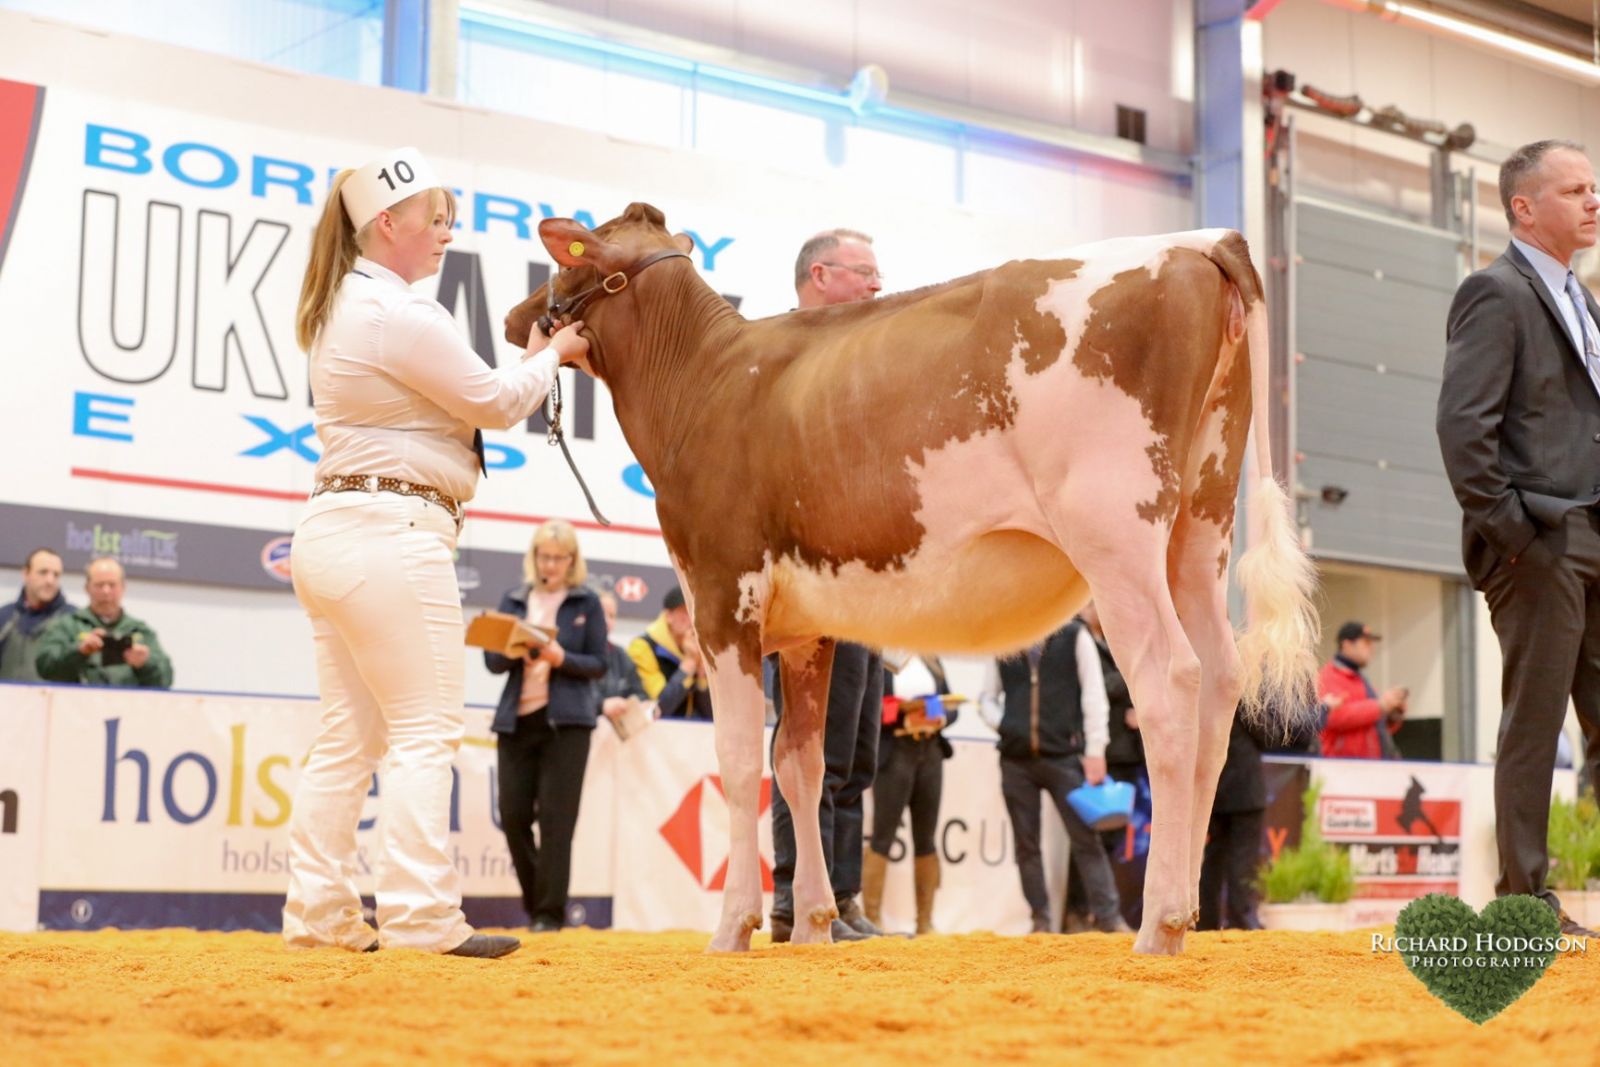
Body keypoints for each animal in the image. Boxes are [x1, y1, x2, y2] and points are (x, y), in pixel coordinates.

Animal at [505, 202, 1318, 956]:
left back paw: (1159, 923)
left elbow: (740, 763)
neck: (702, 377)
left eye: (567, 261)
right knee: (1219, 678)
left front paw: (733, 928)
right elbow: (800, 766)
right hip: (1199, 526)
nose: (517, 320)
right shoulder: (806, 630)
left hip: (1116, 531)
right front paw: (812, 926)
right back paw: (1188, 914)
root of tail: (1196, 241)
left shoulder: (721, 593)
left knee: (1170, 680)